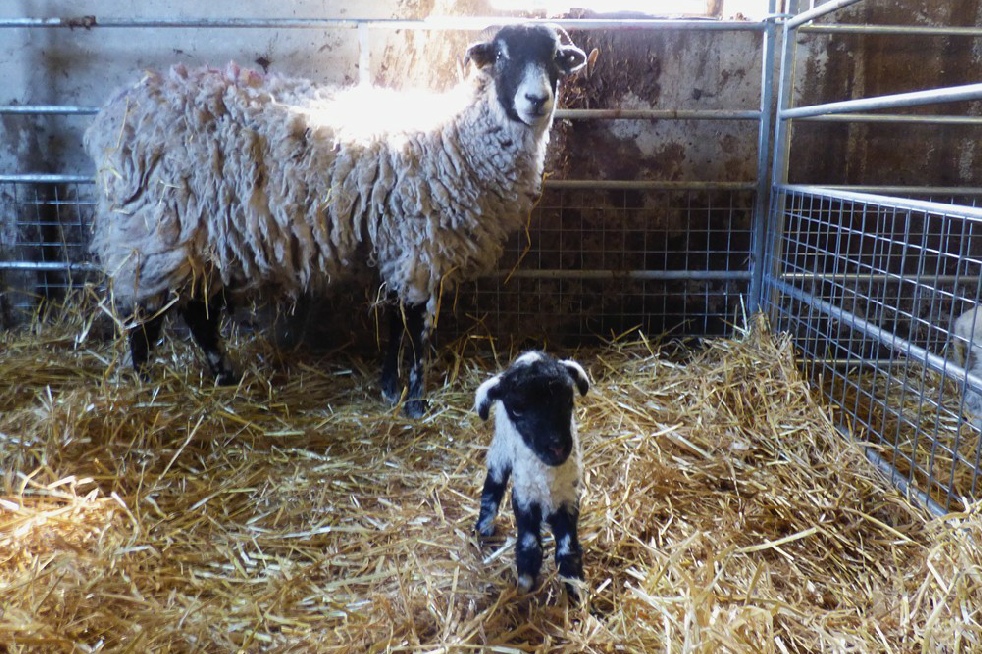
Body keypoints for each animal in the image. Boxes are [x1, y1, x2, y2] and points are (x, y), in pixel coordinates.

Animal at [84, 24, 588, 420]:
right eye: (501, 55)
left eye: (555, 60)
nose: (536, 100)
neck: (456, 138)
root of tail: (114, 113)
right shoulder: (420, 247)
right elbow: (418, 330)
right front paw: (416, 402)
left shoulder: (397, 246)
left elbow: (392, 320)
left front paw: (389, 387)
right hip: (152, 230)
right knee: (140, 315)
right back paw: (144, 382)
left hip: (198, 235)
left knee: (196, 310)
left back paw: (224, 375)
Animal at [476, 354, 592, 600]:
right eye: (517, 410)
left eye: (569, 400)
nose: (557, 446)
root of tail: (529, 354)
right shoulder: (524, 497)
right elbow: (529, 548)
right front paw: (524, 587)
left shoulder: (569, 498)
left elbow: (568, 552)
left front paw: (577, 592)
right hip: (501, 446)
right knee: (493, 483)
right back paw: (485, 527)